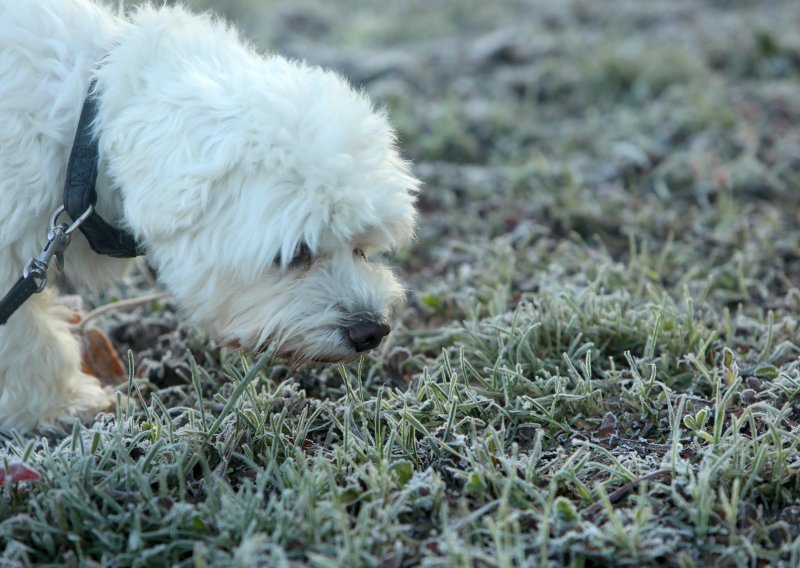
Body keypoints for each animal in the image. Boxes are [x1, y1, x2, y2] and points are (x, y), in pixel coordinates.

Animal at [0, 0, 422, 430]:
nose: (371, 330)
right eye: (296, 254)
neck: (85, 127)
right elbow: (26, 336)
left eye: (361, 247)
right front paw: (58, 404)